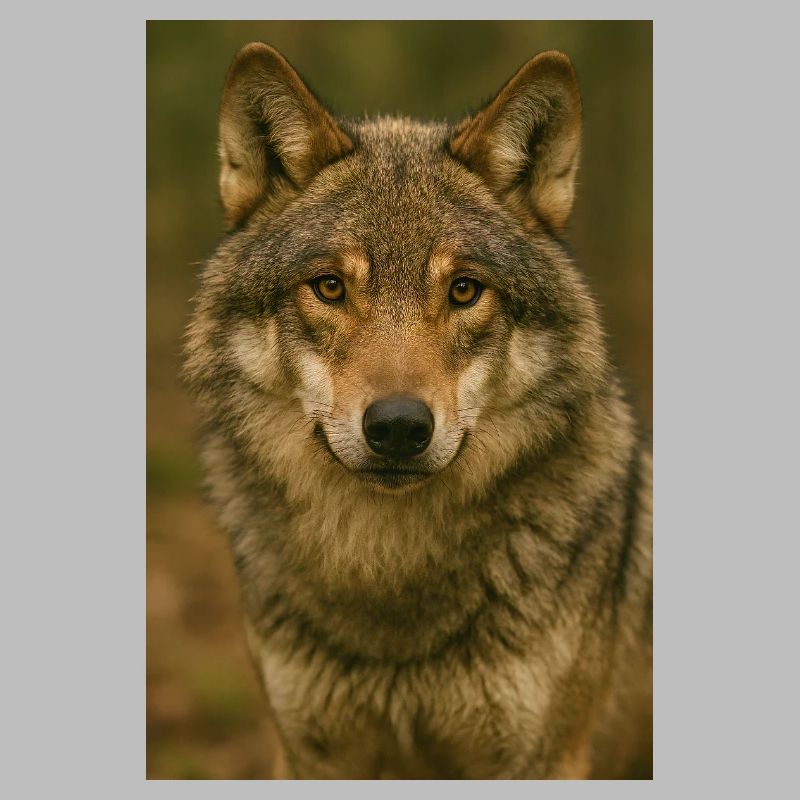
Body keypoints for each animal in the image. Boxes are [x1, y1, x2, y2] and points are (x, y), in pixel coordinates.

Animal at [183, 42, 652, 779]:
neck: (390, 578)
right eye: (329, 287)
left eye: (464, 290)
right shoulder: (312, 755)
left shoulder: (544, 758)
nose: (399, 427)